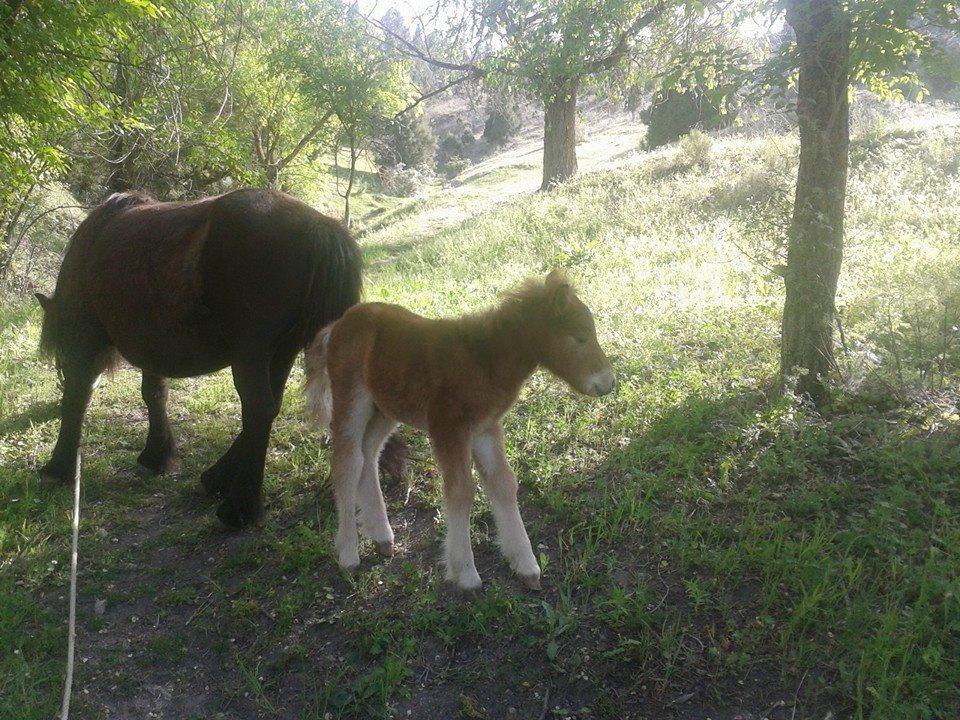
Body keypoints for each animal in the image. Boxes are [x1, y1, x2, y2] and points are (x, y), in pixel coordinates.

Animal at [35, 188, 362, 524]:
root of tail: (320, 226)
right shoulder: (153, 346)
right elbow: (154, 394)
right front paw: (159, 455)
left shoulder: (84, 340)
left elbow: (77, 398)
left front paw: (59, 468)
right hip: (282, 350)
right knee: (271, 407)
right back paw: (218, 478)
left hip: (251, 355)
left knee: (258, 410)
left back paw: (239, 509)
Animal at [308, 272, 616, 592]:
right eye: (580, 337)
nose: (609, 383)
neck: (483, 361)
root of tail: (337, 325)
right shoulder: (448, 428)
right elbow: (461, 490)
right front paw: (465, 573)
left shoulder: (485, 429)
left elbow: (503, 483)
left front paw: (526, 565)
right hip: (352, 399)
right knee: (347, 461)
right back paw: (348, 553)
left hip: (385, 409)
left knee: (368, 455)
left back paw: (382, 537)